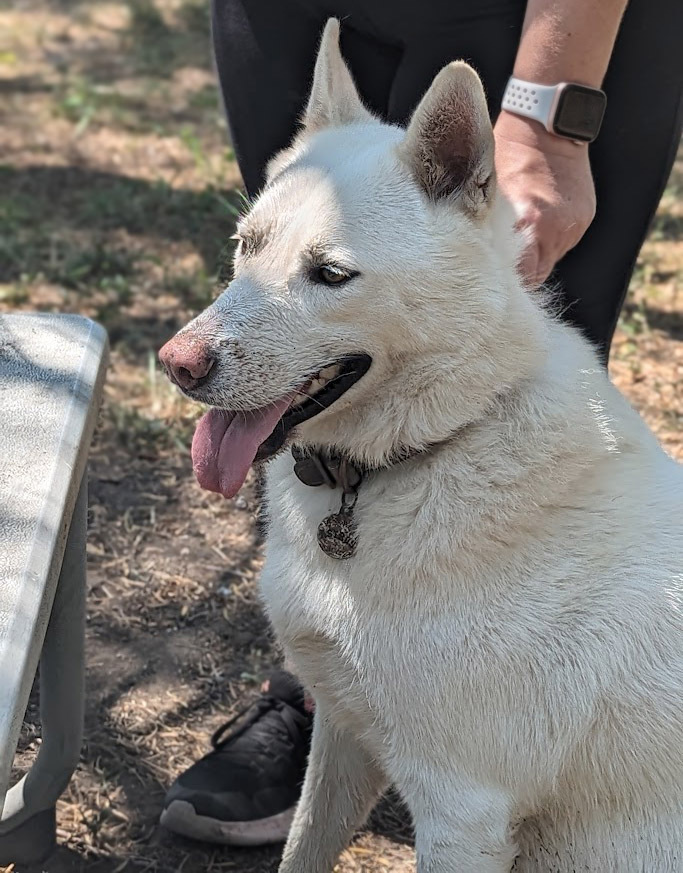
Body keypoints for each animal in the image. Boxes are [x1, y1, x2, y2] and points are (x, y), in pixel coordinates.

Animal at [160, 20, 683, 872]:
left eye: (330, 273)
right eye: (246, 246)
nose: (176, 364)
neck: (422, 454)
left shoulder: (461, 813)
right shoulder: (342, 730)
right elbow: (302, 847)